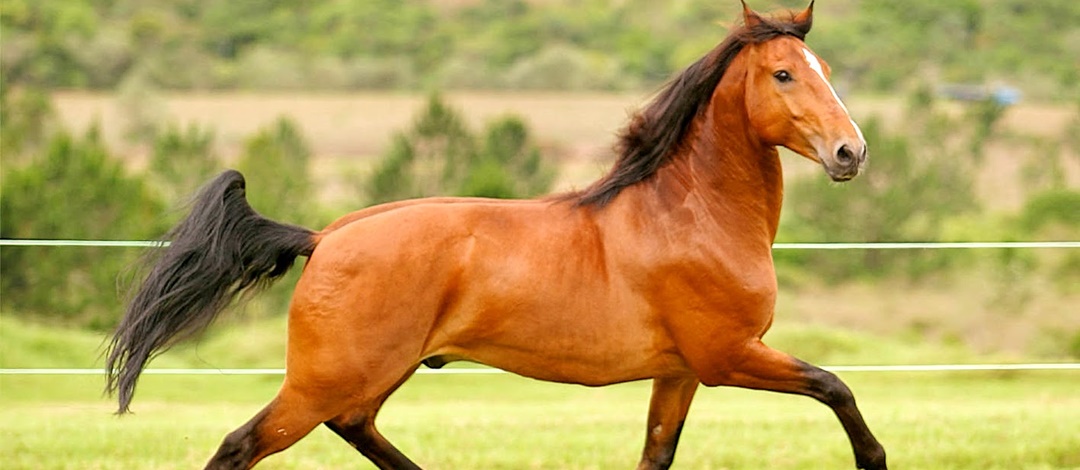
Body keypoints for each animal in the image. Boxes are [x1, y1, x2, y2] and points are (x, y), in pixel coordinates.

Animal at [107, 1, 885, 468]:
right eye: (783, 74)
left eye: (826, 70)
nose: (851, 152)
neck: (691, 216)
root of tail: (324, 238)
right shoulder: (729, 356)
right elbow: (837, 387)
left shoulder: (681, 371)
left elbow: (656, 455)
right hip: (322, 382)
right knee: (242, 446)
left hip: (370, 376)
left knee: (356, 427)